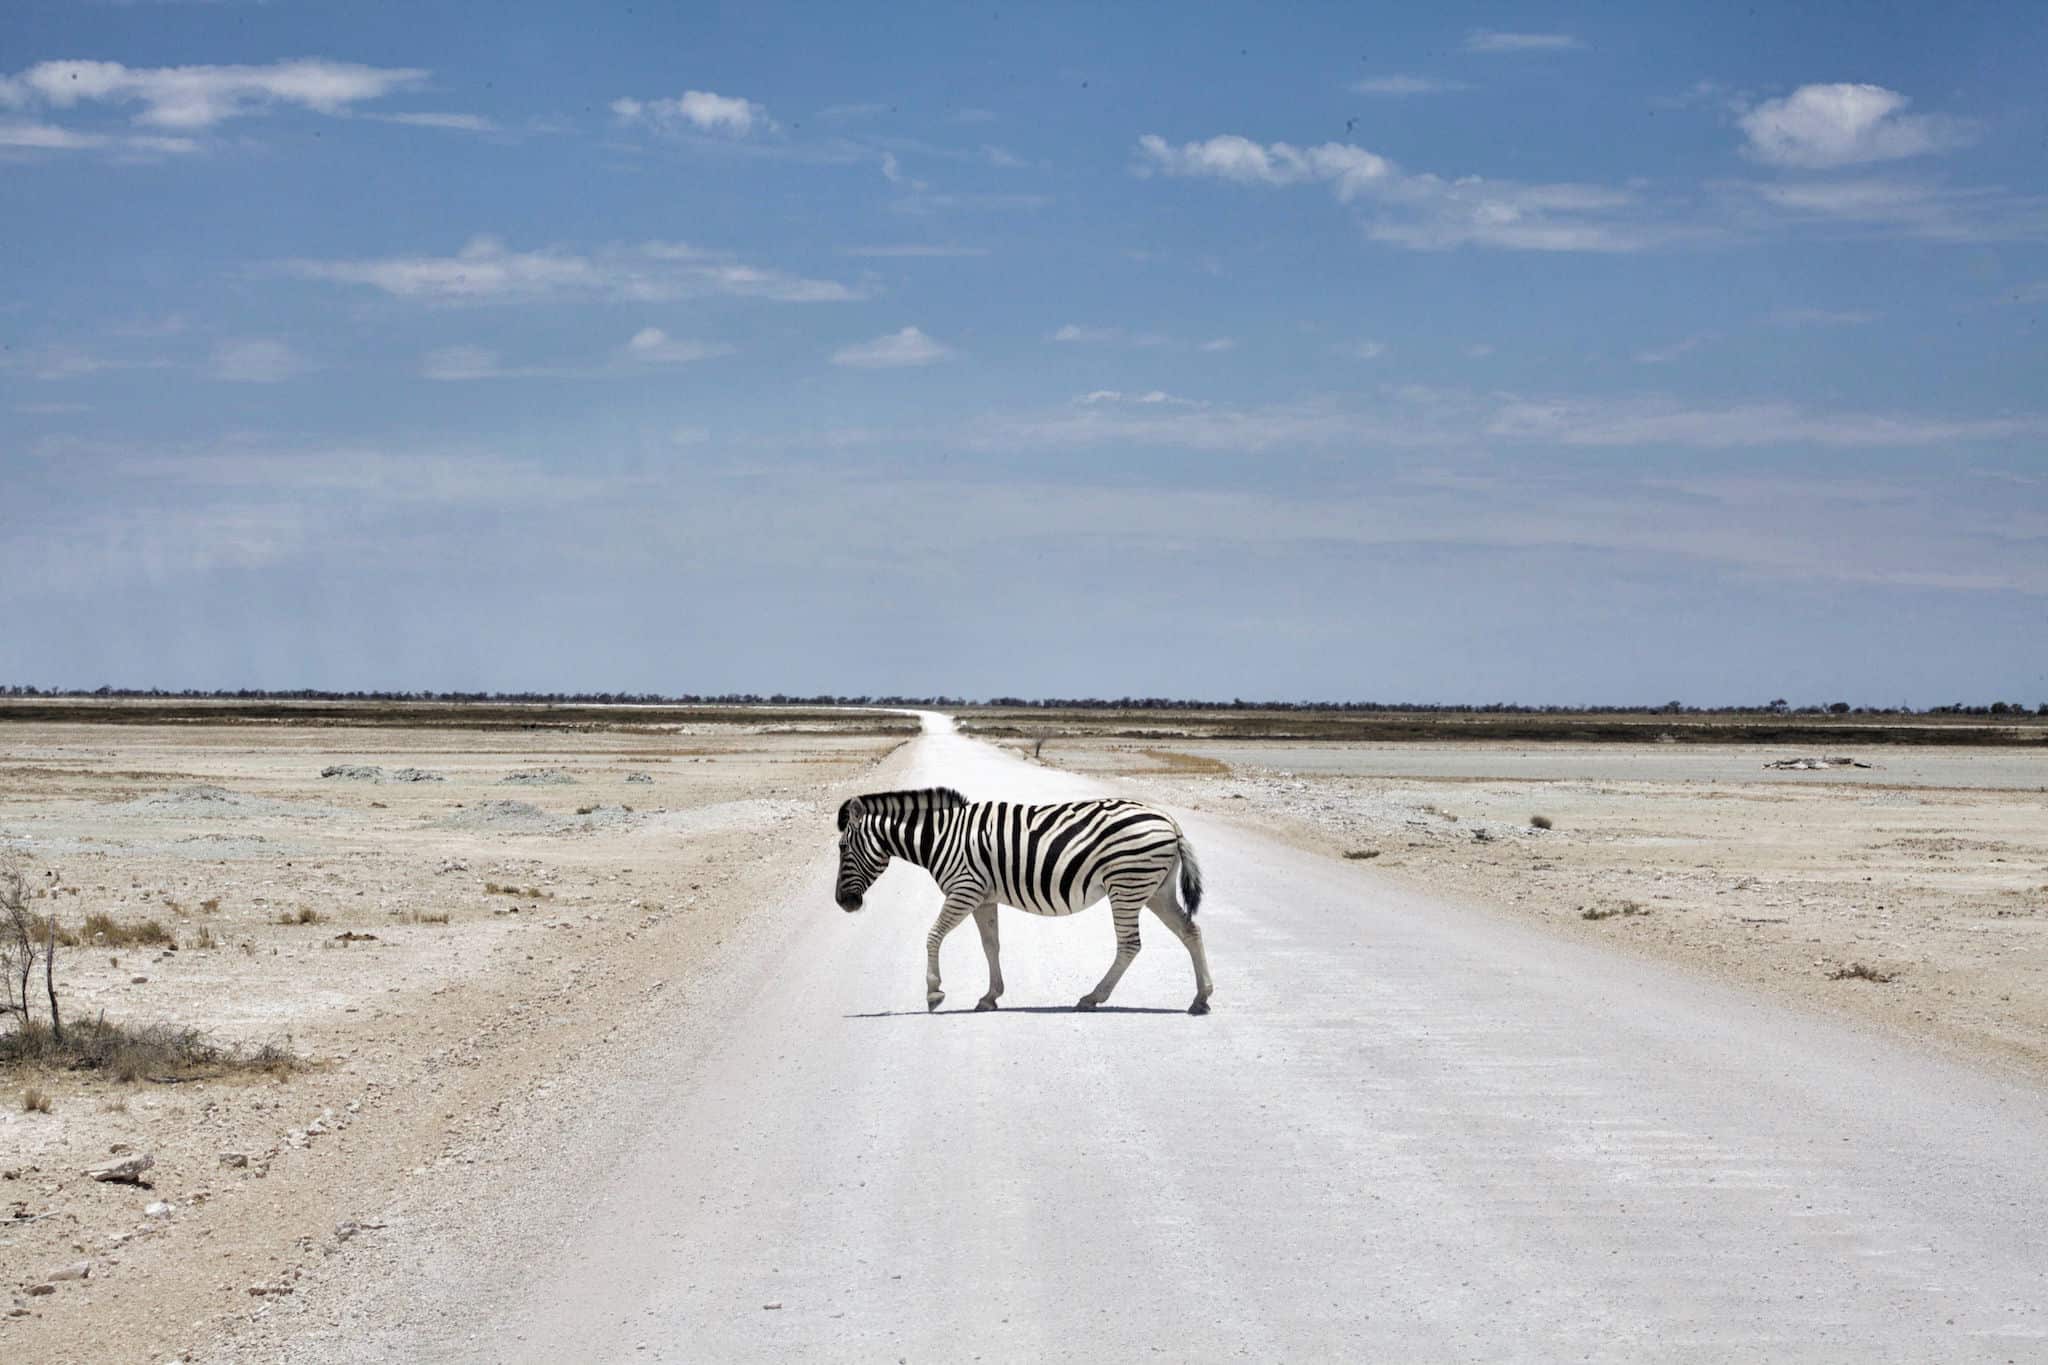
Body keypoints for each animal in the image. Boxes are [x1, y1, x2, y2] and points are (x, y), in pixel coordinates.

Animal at [835, 789, 1212, 1015]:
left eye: (842, 847)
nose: (843, 903)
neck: (940, 838)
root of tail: (1168, 820)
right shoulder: (983, 898)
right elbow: (991, 945)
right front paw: (990, 996)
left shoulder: (964, 889)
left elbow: (932, 936)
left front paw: (934, 992)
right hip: (1155, 889)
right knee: (1190, 931)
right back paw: (1201, 998)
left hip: (1128, 884)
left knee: (1131, 944)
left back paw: (1092, 998)